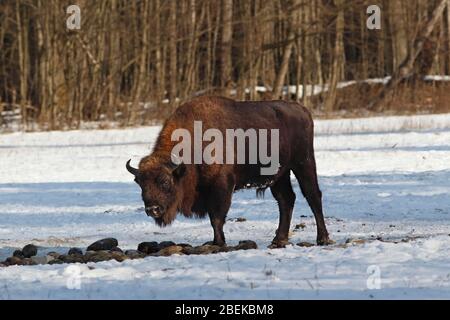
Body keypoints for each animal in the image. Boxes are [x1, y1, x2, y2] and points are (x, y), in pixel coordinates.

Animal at [125, 95, 330, 248]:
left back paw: (323, 239)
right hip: (280, 174)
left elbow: (216, 217)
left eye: (165, 182)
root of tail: (302, 110)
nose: (152, 209)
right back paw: (278, 240)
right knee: (286, 199)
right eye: (140, 184)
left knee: (313, 195)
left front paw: (218, 242)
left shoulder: (221, 187)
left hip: (303, 163)